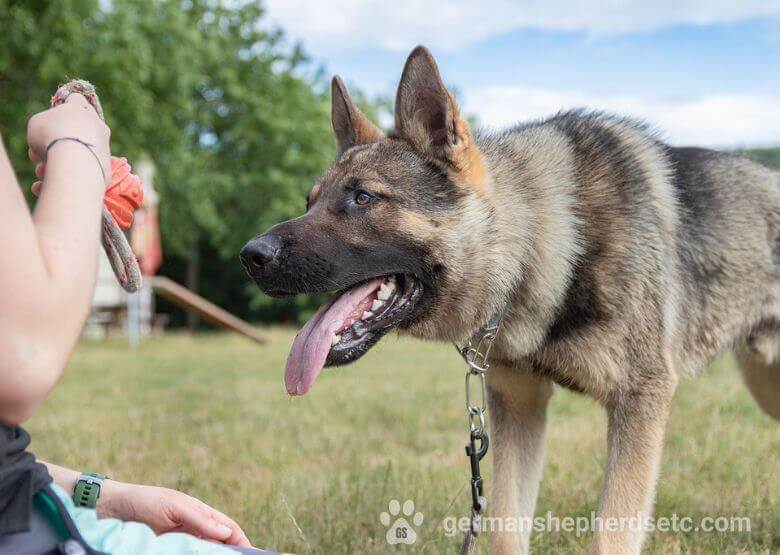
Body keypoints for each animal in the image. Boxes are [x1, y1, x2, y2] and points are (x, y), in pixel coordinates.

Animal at [239, 45, 780, 552]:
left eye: (363, 198)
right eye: (310, 202)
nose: (250, 255)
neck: (541, 242)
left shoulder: (640, 404)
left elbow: (611, 532)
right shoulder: (520, 408)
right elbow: (503, 527)